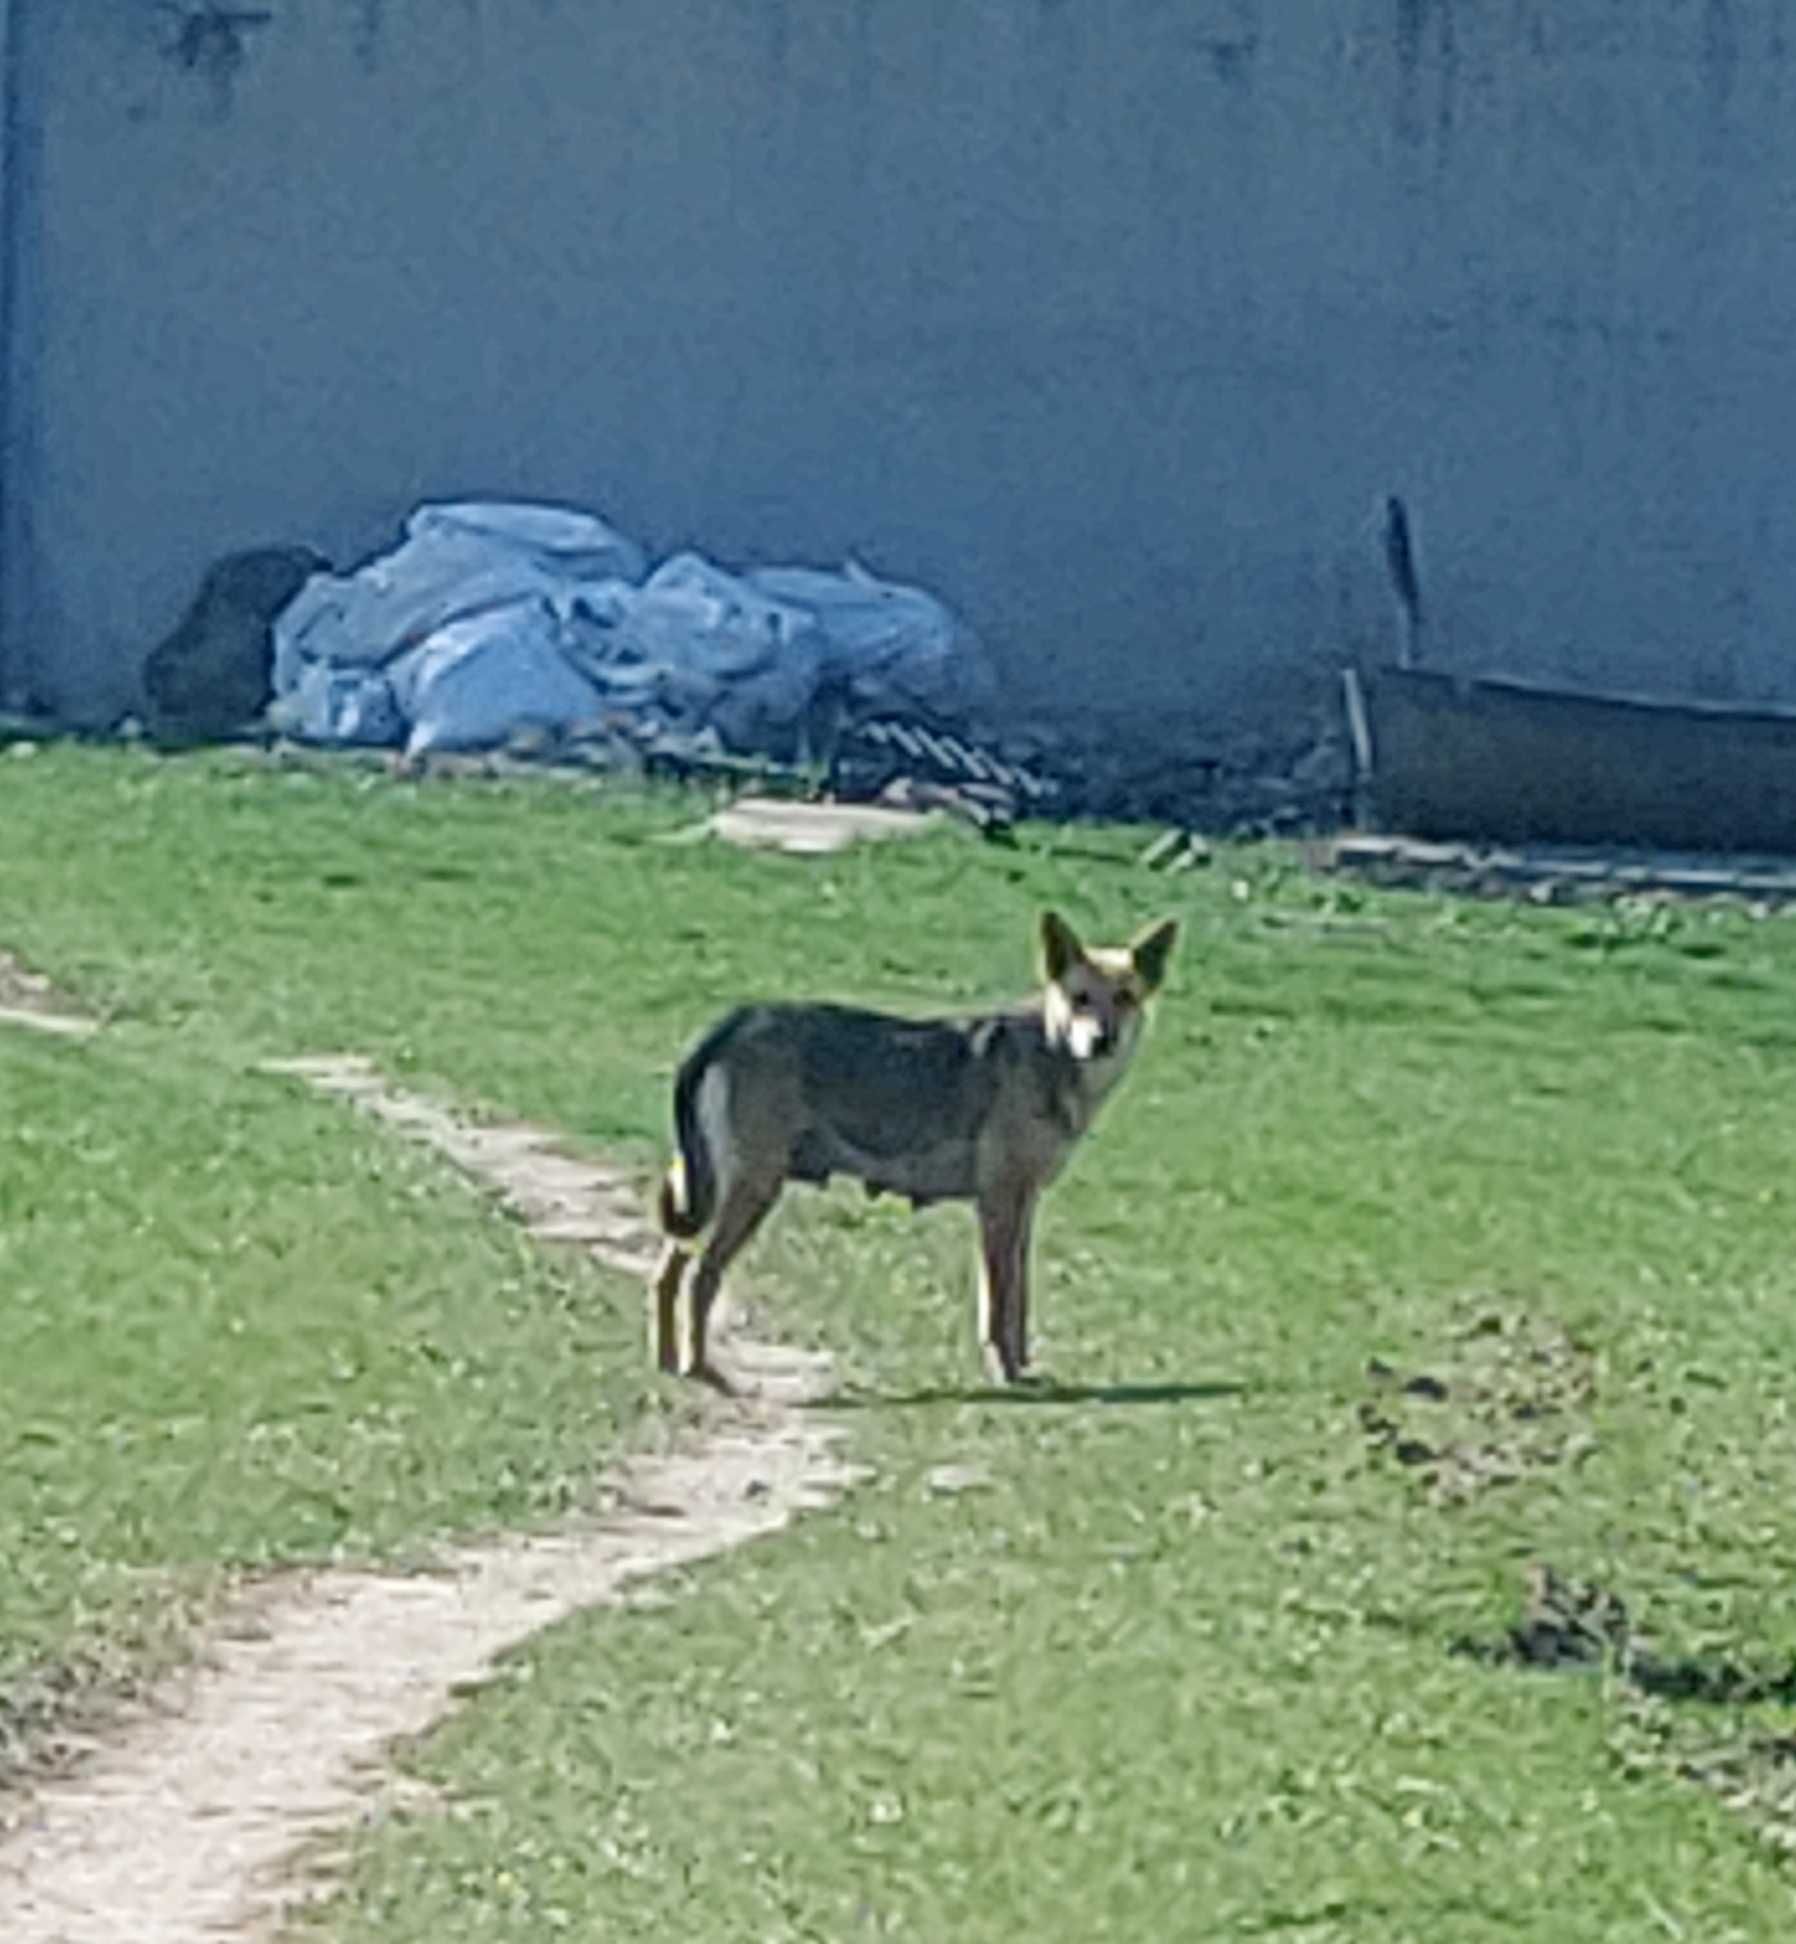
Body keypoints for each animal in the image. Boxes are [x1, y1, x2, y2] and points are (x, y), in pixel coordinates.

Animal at [645, 905, 1181, 1384]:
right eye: (1079, 998)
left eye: (1125, 997)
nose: (1101, 1041)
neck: (1052, 1052)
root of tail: (734, 1021)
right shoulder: (999, 1204)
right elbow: (999, 1304)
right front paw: (1006, 1372)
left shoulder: (1024, 1205)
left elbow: (1019, 1302)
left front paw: (1023, 1366)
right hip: (750, 1190)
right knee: (701, 1276)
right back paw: (699, 1366)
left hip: (709, 1191)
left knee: (668, 1272)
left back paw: (668, 1361)